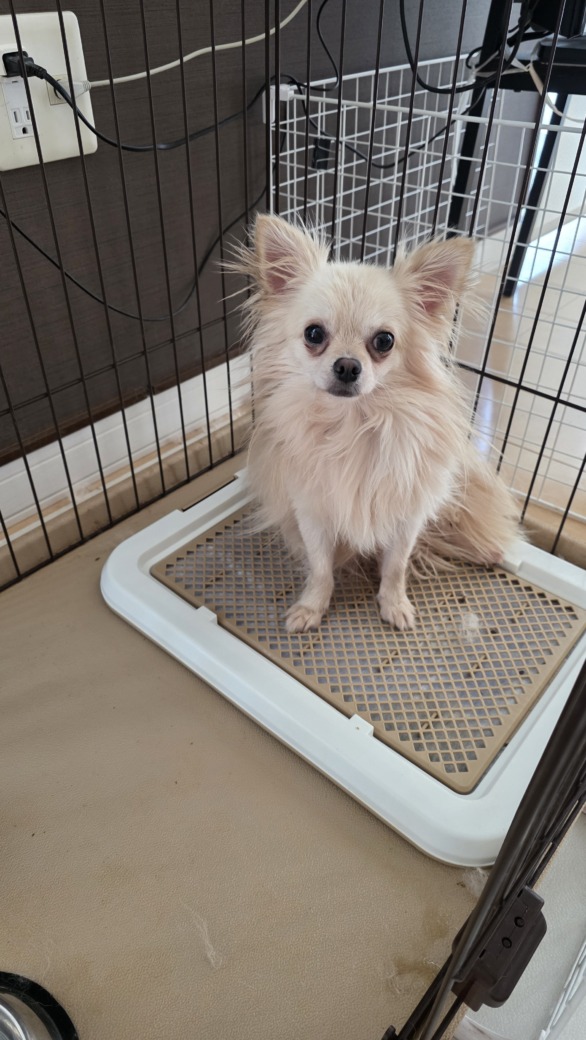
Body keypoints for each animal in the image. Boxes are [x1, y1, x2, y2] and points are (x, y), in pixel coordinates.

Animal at [234, 214, 521, 633]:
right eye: (313, 334)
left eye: (384, 341)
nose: (347, 366)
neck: (353, 424)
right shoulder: (313, 512)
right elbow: (321, 568)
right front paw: (312, 606)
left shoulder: (407, 516)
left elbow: (396, 565)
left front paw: (394, 603)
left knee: (450, 521)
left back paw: (484, 549)